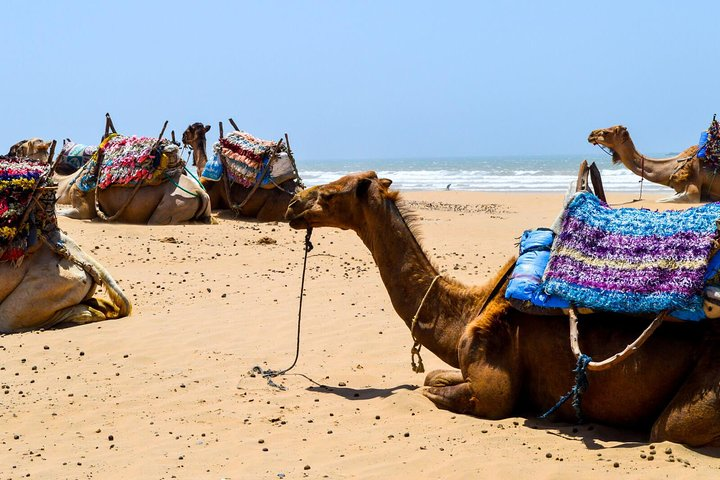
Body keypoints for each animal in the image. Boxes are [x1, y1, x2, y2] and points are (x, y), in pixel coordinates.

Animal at [284, 171, 720, 448]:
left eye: (330, 193)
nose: (292, 204)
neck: (470, 305)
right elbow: (431, 379)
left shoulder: (492, 391)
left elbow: (436, 390)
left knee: (666, 430)